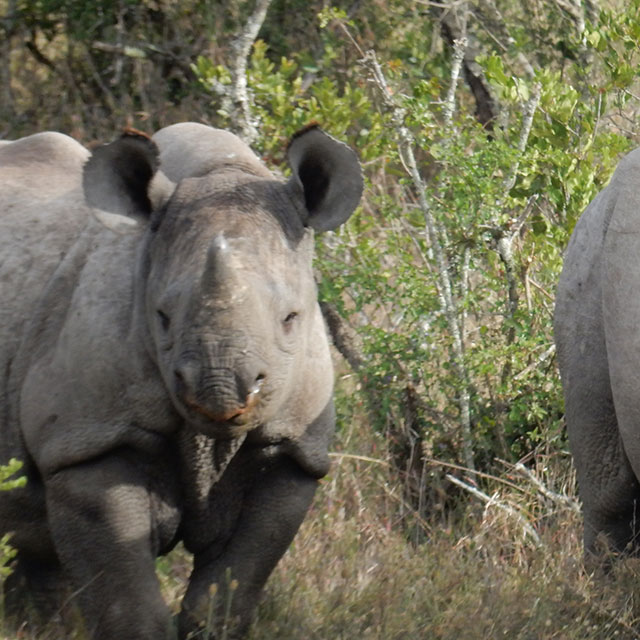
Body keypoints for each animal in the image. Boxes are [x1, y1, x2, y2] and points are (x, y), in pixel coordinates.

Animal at [0, 122, 362, 639]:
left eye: (291, 319)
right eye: (161, 318)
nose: (223, 393)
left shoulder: (292, 450)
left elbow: (225, 596)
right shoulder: (88, 441)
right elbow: (128, 607)